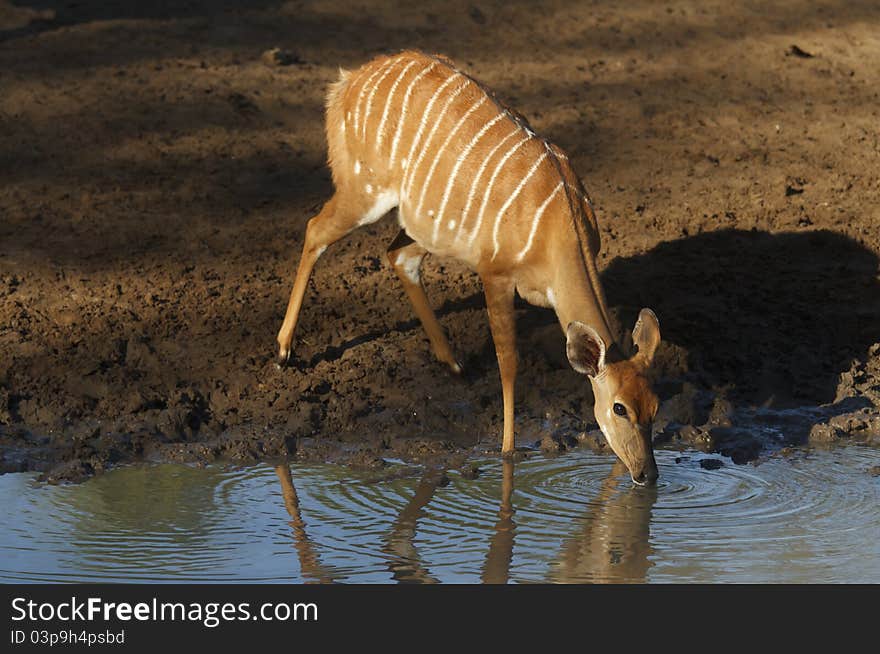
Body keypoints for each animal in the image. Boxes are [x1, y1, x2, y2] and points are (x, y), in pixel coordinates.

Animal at [278, 51, 664, 486]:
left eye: (655, 406)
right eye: (620, 408)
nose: (647, 474)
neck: (559, 231)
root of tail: (346, 83)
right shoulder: (495, 274)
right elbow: (509, 363)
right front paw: (508, 452)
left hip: (423, 223)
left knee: (398, 256)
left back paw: (453, 364)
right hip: (363, 190)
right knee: (315, 230)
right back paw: (283, 350)